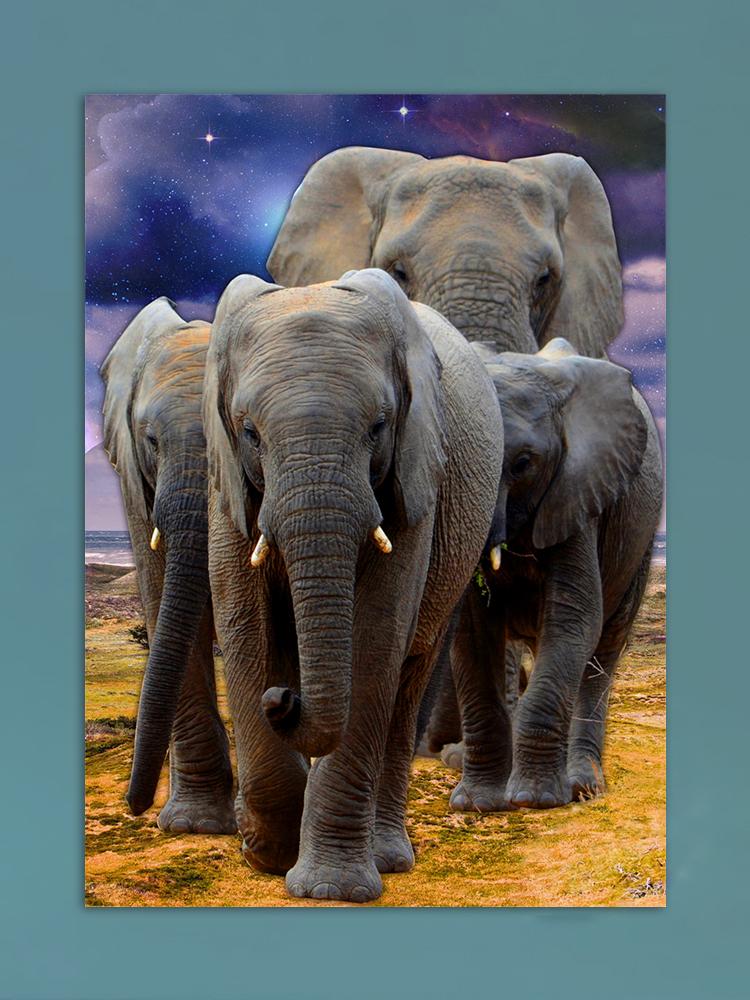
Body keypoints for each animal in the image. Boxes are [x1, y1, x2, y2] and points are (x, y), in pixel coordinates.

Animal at [202, 268, 503, 902]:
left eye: (379, 426)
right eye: (249, 432)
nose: (283, 698)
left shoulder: (417, 472)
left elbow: (376, 635)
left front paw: (326, 889)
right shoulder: (226, 480)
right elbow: (243, 620)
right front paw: (267, 854)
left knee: (407, 677)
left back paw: (387, 858)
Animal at [441, 338, 662, 812]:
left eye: (524, 463)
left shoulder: (579, 492)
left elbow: (574, 620)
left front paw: (534, 800)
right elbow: (471, 634)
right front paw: (477, 804)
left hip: (638, 541)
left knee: (602, 651)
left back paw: (580, 786)